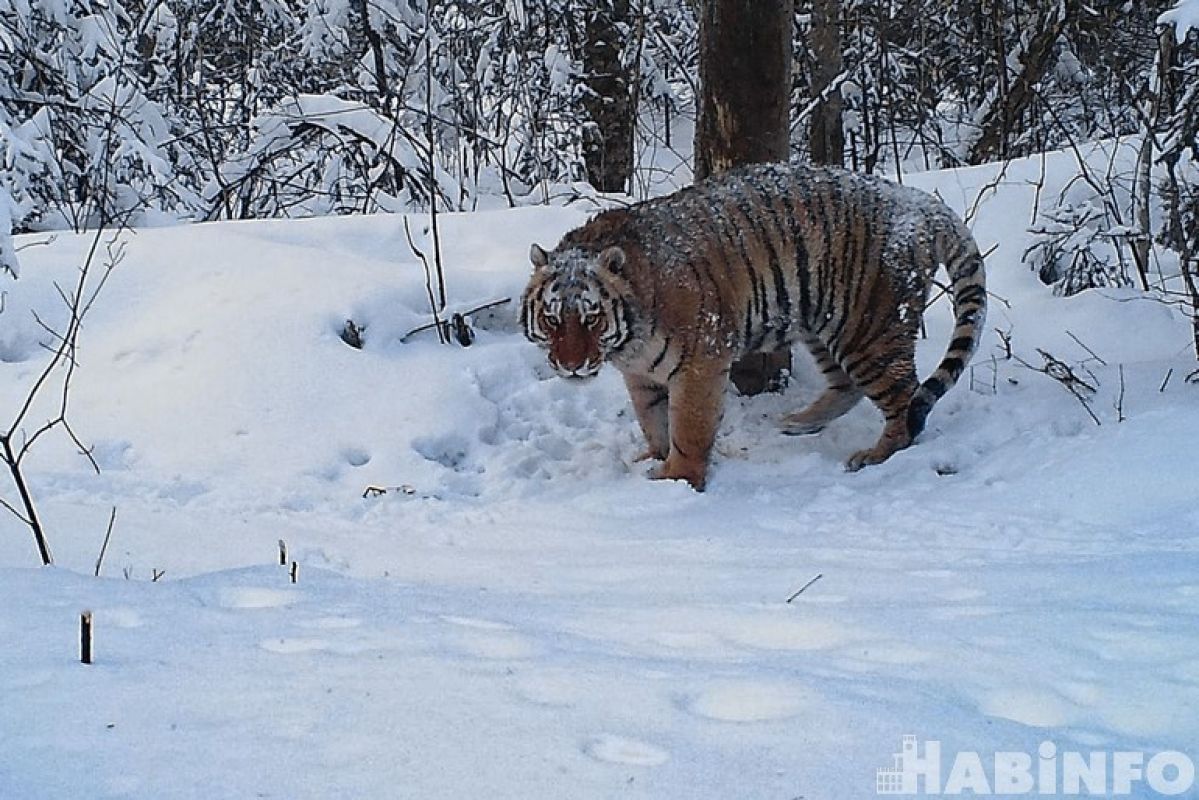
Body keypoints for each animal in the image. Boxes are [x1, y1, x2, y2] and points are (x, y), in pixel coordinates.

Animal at [520, 160, 987, 491]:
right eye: (553, 318)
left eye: (591, 318)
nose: (571, 366)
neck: (628, 341)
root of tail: (920, 202)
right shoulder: (641, 376)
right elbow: (653, 421)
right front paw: (651, 458)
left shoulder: (700, 364)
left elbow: (688, 427)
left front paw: (678, 478)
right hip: (825, 325)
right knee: (848, 386)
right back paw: (801, 422)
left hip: (869, 330)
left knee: (906, 401)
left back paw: (875, 455)